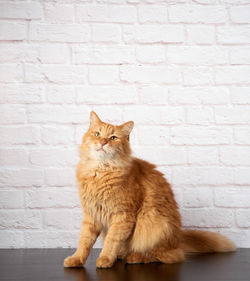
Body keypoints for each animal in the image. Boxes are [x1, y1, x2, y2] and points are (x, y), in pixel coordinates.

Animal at [63, 110, 235, 268]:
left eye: (113, 138)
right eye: (97, 134)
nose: (103, 142)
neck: (100, 171)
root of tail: (178, 238)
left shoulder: (122, 216)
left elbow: (111, 241)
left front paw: (105, 259)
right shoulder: (91, 215)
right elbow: (84, 241)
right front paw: (76, 259)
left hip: (155, 223)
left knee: (168, 256)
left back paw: (135, 257)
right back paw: (121, 255)